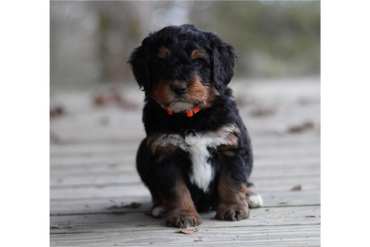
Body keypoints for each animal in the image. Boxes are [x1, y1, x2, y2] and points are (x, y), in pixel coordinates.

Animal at [129, 24, 262, 228]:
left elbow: (231, 181)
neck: (189, 117)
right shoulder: (165, 152)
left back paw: (250, 196)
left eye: (198, 62)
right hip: (142, 152)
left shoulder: (231, 146)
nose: (179, 88)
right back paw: (159, 207)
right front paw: (183, 215)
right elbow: (176, 189)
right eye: (161, 63)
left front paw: (233, 209)